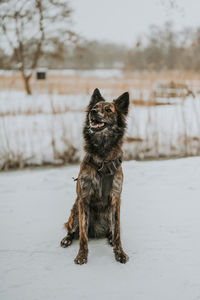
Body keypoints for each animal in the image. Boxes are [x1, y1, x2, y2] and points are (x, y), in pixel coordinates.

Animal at [60, 88, 130, 264]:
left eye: (108, 110)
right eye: (95, 107)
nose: (93, 112)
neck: (103, 156)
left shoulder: (115, 199)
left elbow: (118, 231)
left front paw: (119, 252)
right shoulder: (83, 199)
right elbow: (83, 236)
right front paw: (81, 256)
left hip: (108, 215)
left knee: (111, 229)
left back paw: (110, 238)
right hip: (75, 212)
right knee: (74, 230)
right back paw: (67, 239)